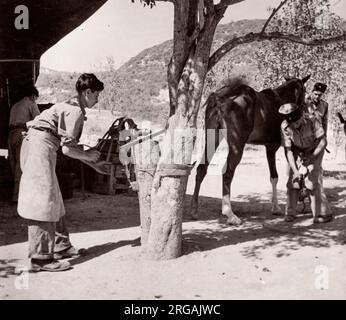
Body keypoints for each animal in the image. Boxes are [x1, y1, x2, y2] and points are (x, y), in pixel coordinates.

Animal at [191, 75, 310, 225]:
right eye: (304, 90)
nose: (304, 111)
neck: (282, 101)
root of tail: (221, 97)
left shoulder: (270, 148)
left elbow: (274, 176)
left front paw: (277, 207)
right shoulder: (278, 147)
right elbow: (288, 175)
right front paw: (284, 207)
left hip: (213, 138)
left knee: (201, 168)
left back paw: (194, 209)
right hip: (237, 146)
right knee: (227, 173)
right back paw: (229, 213)